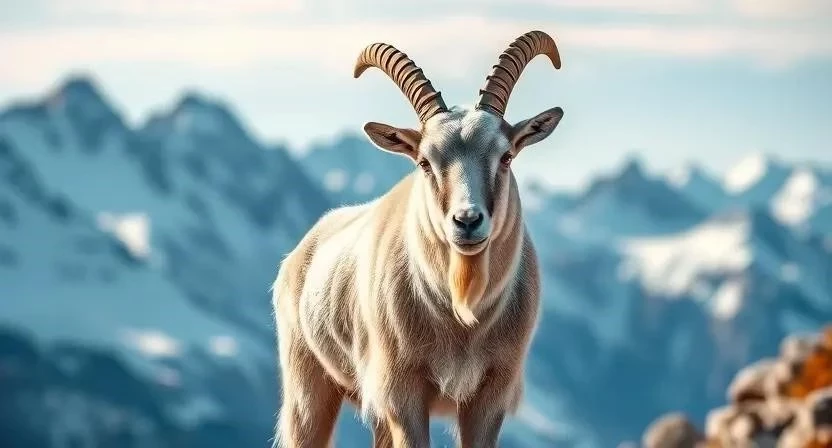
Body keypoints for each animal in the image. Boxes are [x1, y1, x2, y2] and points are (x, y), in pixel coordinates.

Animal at [272, 30, 565, 448]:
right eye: (425, 162)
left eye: (506, 156)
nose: (467, 221)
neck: (462, 320)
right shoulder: (402, 393)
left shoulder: (491, 394)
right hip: (309, 390)